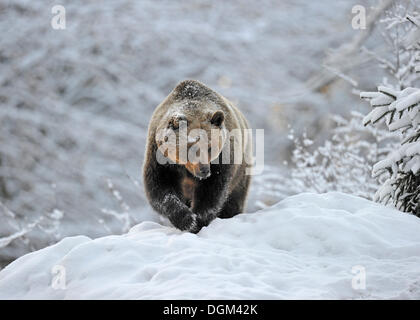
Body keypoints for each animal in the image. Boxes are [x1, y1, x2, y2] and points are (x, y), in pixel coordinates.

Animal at [143, 79, 251, 232]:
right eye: (190, 147)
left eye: (210, 147)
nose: (204, 170)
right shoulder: (160, 158)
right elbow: (160, 187)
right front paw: (187, 220)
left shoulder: (222, 160)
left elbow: (213, 191)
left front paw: (199, 220)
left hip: (241, 173)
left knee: (234, 200)